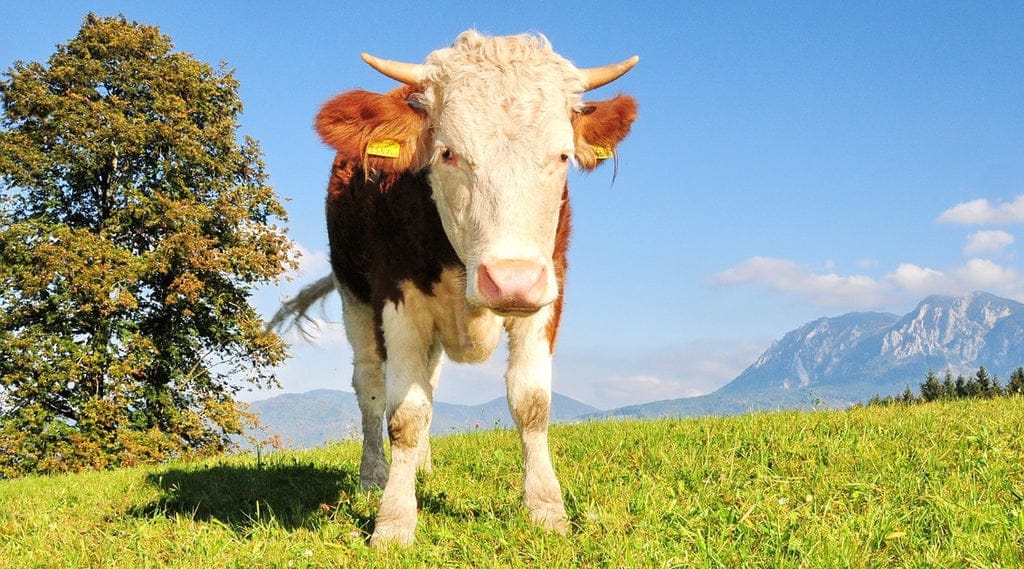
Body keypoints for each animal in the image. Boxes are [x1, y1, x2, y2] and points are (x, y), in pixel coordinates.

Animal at [273, 30, 638, 546]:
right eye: (447, 152)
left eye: (563, 155)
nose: (511, 280)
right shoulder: (397, 301)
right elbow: (404, 415)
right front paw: (393, 522)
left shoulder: (549, 287)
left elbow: (531, 403)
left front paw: (546, 510)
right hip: (353, 297)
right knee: (370, 386)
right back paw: (374, 477)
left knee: (429, 380)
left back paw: (421, 468)